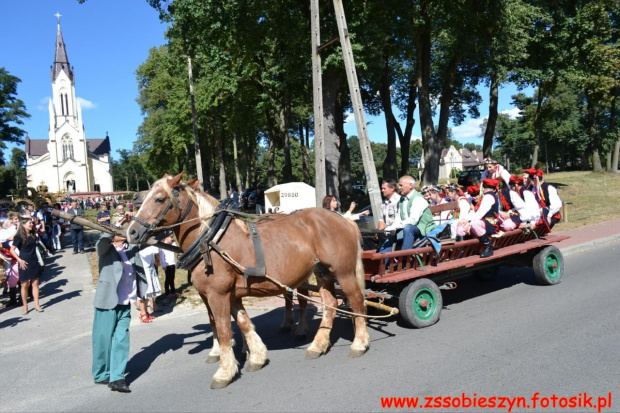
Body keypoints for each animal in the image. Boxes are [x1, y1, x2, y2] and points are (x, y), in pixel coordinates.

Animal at [125, 172, 368, 388]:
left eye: (159, 199)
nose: (132, 232)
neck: (210, 239)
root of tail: (343, 219)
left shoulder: (217, 295)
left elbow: (223, 330)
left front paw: (224, 372)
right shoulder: (229, 294)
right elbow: (243, 322)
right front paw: (256, 356)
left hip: (343, 273)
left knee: (356, 301)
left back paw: (358, 343)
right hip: (322, 273)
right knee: (330, 305)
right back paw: (317, 345)